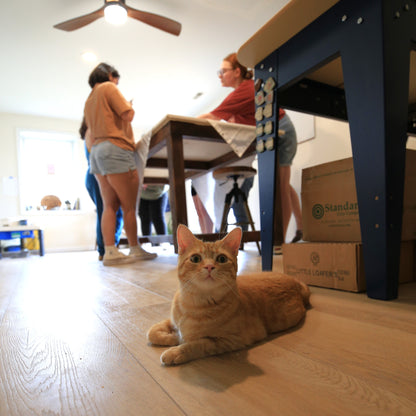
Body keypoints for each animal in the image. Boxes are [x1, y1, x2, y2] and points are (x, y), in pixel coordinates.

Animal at [146, 224, 308, 364]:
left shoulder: (230, 340)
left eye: (222, 259)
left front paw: (177, 350)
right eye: (195, 258)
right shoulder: (172, 320)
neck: (194, 304)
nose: (209, 266)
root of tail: (296, 282)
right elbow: (152, 332)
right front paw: (173, 337)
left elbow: (198, 344)